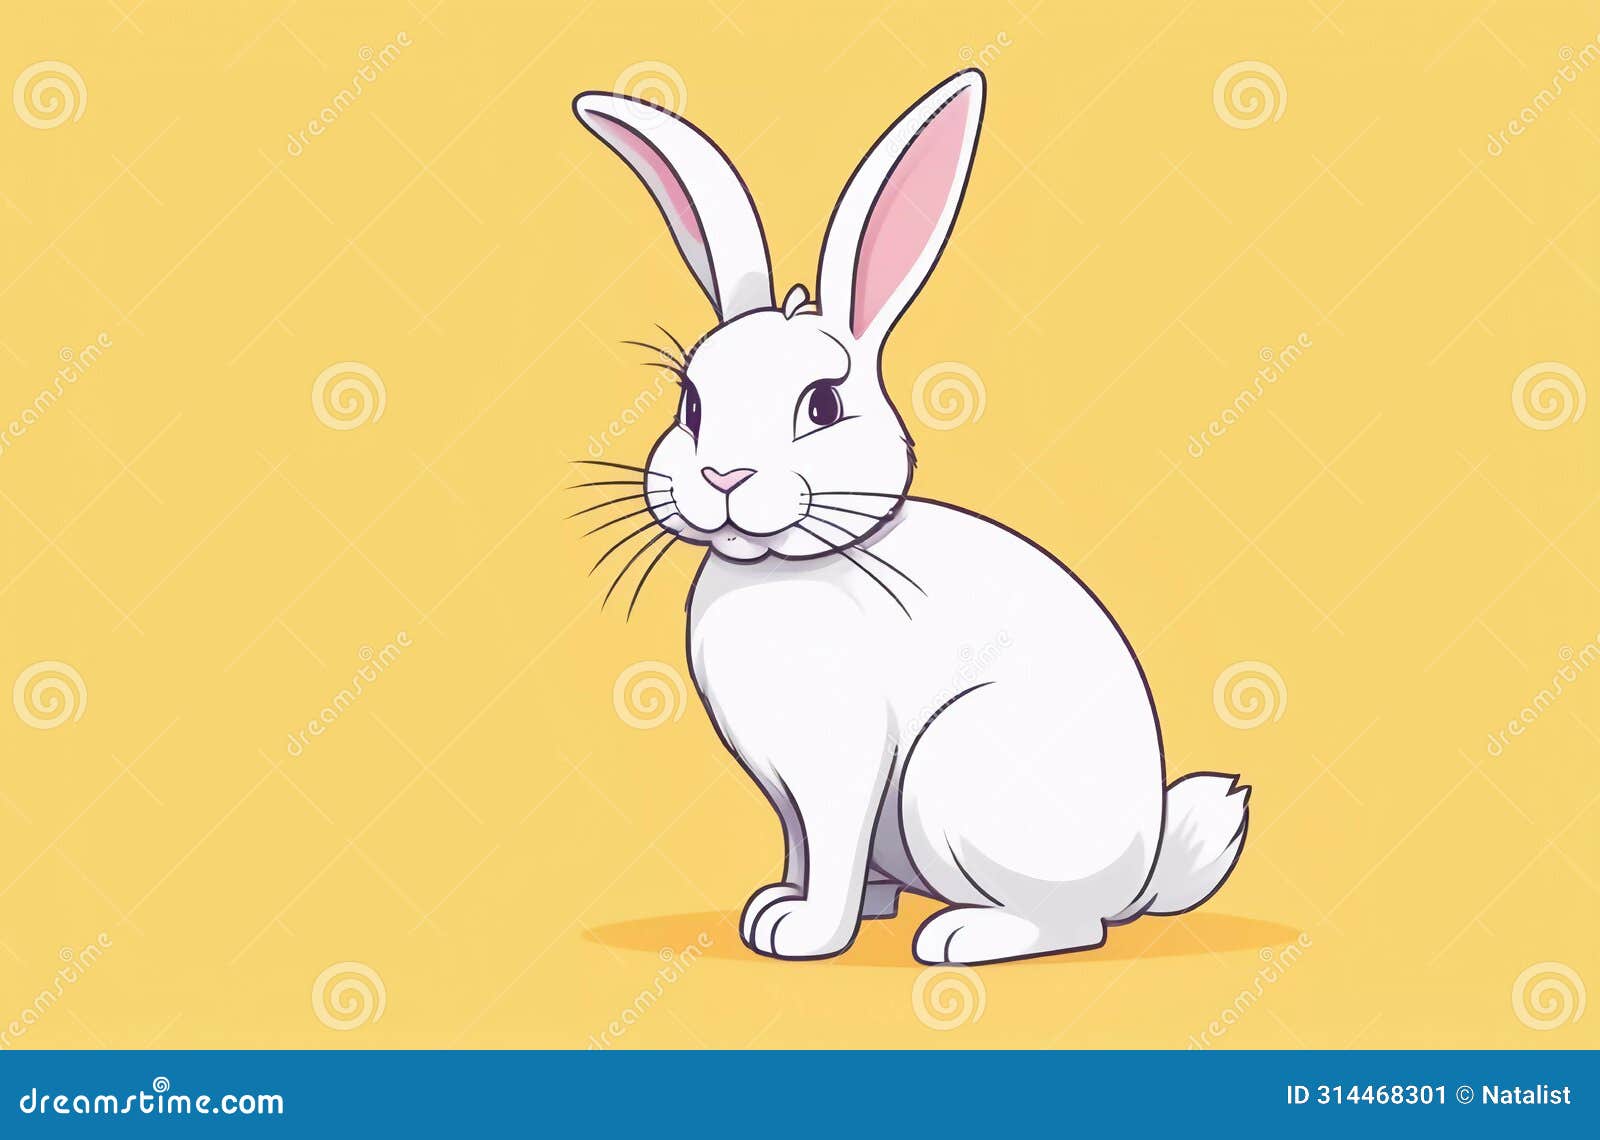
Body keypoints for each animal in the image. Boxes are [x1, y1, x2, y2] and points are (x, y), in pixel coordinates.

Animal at [573, 69, 1249, 964]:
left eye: (823, 404)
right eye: (689, 404)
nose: (724, 475)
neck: (783, 568)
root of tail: (1138, 878)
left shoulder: (841, 765)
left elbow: (830, 850)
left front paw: (806, 934)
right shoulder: (788, 793)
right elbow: (803, 851)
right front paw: (779, 909)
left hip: (951, 777)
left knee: (1074, 927)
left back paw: (962, 937)